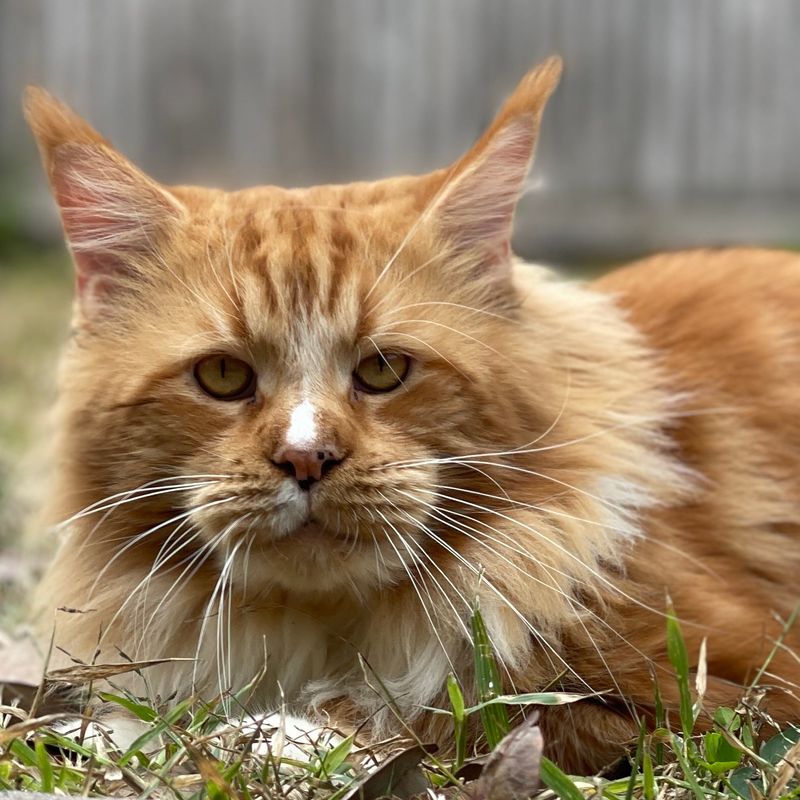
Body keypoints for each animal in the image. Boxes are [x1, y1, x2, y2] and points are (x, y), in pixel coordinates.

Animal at [23, 59, 800, 772]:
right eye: (223, 377)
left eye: (383, 371)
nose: (306, 457)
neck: (326, 629)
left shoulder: (724, 687)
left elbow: (450, 713)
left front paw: (260, 737)